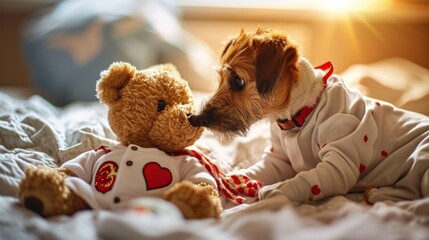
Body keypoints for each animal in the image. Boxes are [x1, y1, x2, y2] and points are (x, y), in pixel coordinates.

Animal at [189, 27, 428, 204]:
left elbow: (309, 177)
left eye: (237, 81)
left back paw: (378, 193)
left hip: (422, 156)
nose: (194, 118)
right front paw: (233, 179)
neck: (302, 112)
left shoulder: (340, 158)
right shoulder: (278, 159)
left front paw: (276, 190)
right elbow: (256, 170)